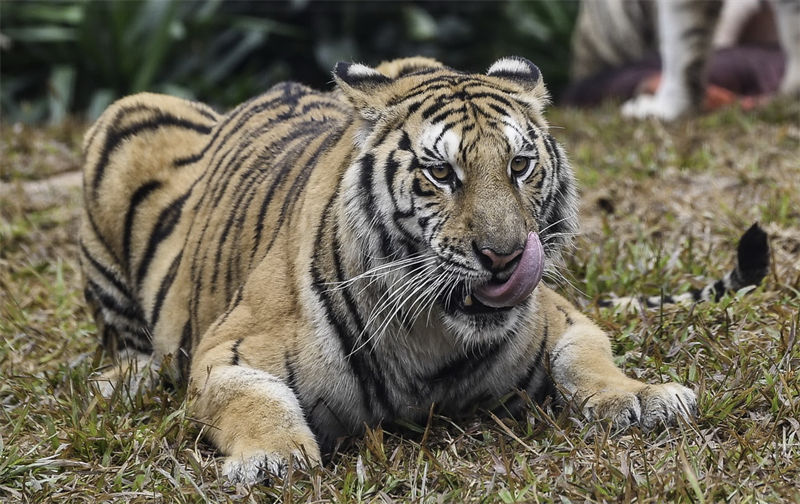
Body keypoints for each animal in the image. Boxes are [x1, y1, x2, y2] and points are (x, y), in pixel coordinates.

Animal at [80, 56, 701, 484]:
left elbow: (588, 360)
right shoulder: (228, 348)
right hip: (122, 119)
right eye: (441, 173)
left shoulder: (563, 316)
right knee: (127, 340)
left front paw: (643, 397)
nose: (504, 256)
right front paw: (272, 458)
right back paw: (121, 382)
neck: (434, 338)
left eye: (520, 165)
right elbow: (254, 399)